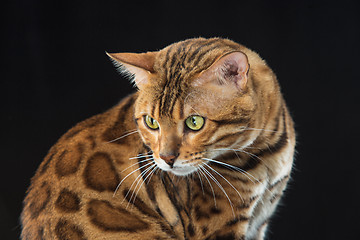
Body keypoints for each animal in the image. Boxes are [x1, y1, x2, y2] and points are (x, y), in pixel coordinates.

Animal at [20, 37, 296, 240]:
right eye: (151, 122)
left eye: (194, 122)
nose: (166, 158)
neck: (265, 156)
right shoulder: (218, 227)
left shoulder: (259, 222)